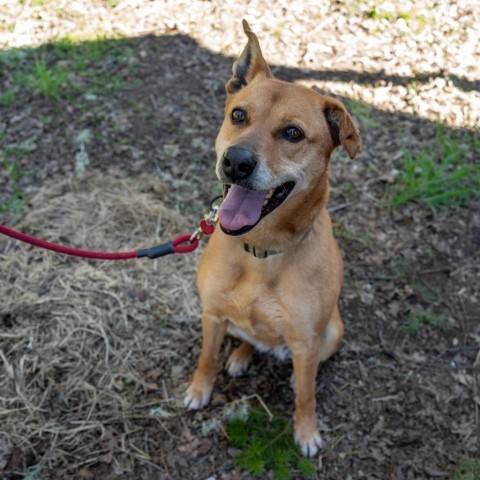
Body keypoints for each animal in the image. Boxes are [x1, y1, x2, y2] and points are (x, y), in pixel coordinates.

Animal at [184, 19, 360, 458]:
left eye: (293, 133)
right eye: (238, 115)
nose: (236, 161)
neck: (262, 252)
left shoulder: (306, 341)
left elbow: (306, 396)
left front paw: (307, 432)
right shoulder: (212, 314)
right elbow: (206, 358)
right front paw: (200, 389)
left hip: (331, 331)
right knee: (248, 339)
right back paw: (241, 355)